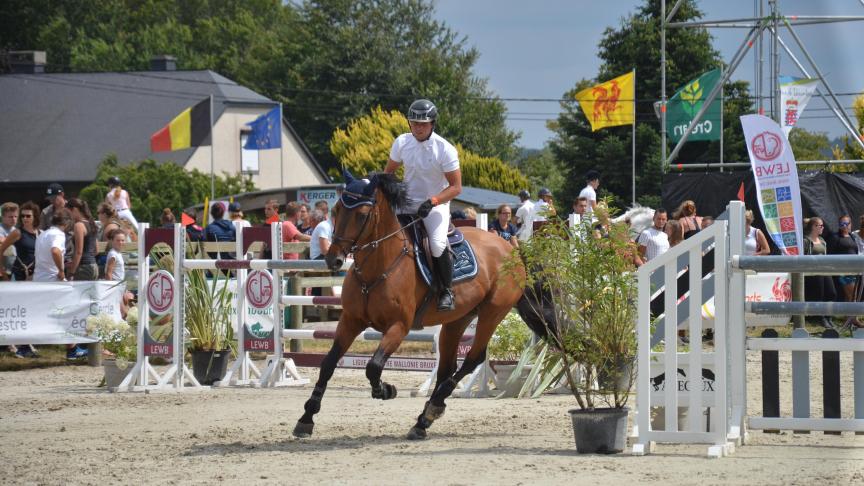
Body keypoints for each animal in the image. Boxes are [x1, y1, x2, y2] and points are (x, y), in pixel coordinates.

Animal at [292, 172, 528, 440]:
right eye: (336, 211)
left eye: (362, 215)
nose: (334, 260)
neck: (377, 267)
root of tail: (510, 248)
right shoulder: (351, 321)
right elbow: (328, 364)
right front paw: (306, 418)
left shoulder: (399, 327)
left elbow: (373, 366)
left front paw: (386, 390)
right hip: (457, 320)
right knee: (446, 367)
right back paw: (423, 420)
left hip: (492, 313)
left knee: (472, 359)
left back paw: (433, 408)